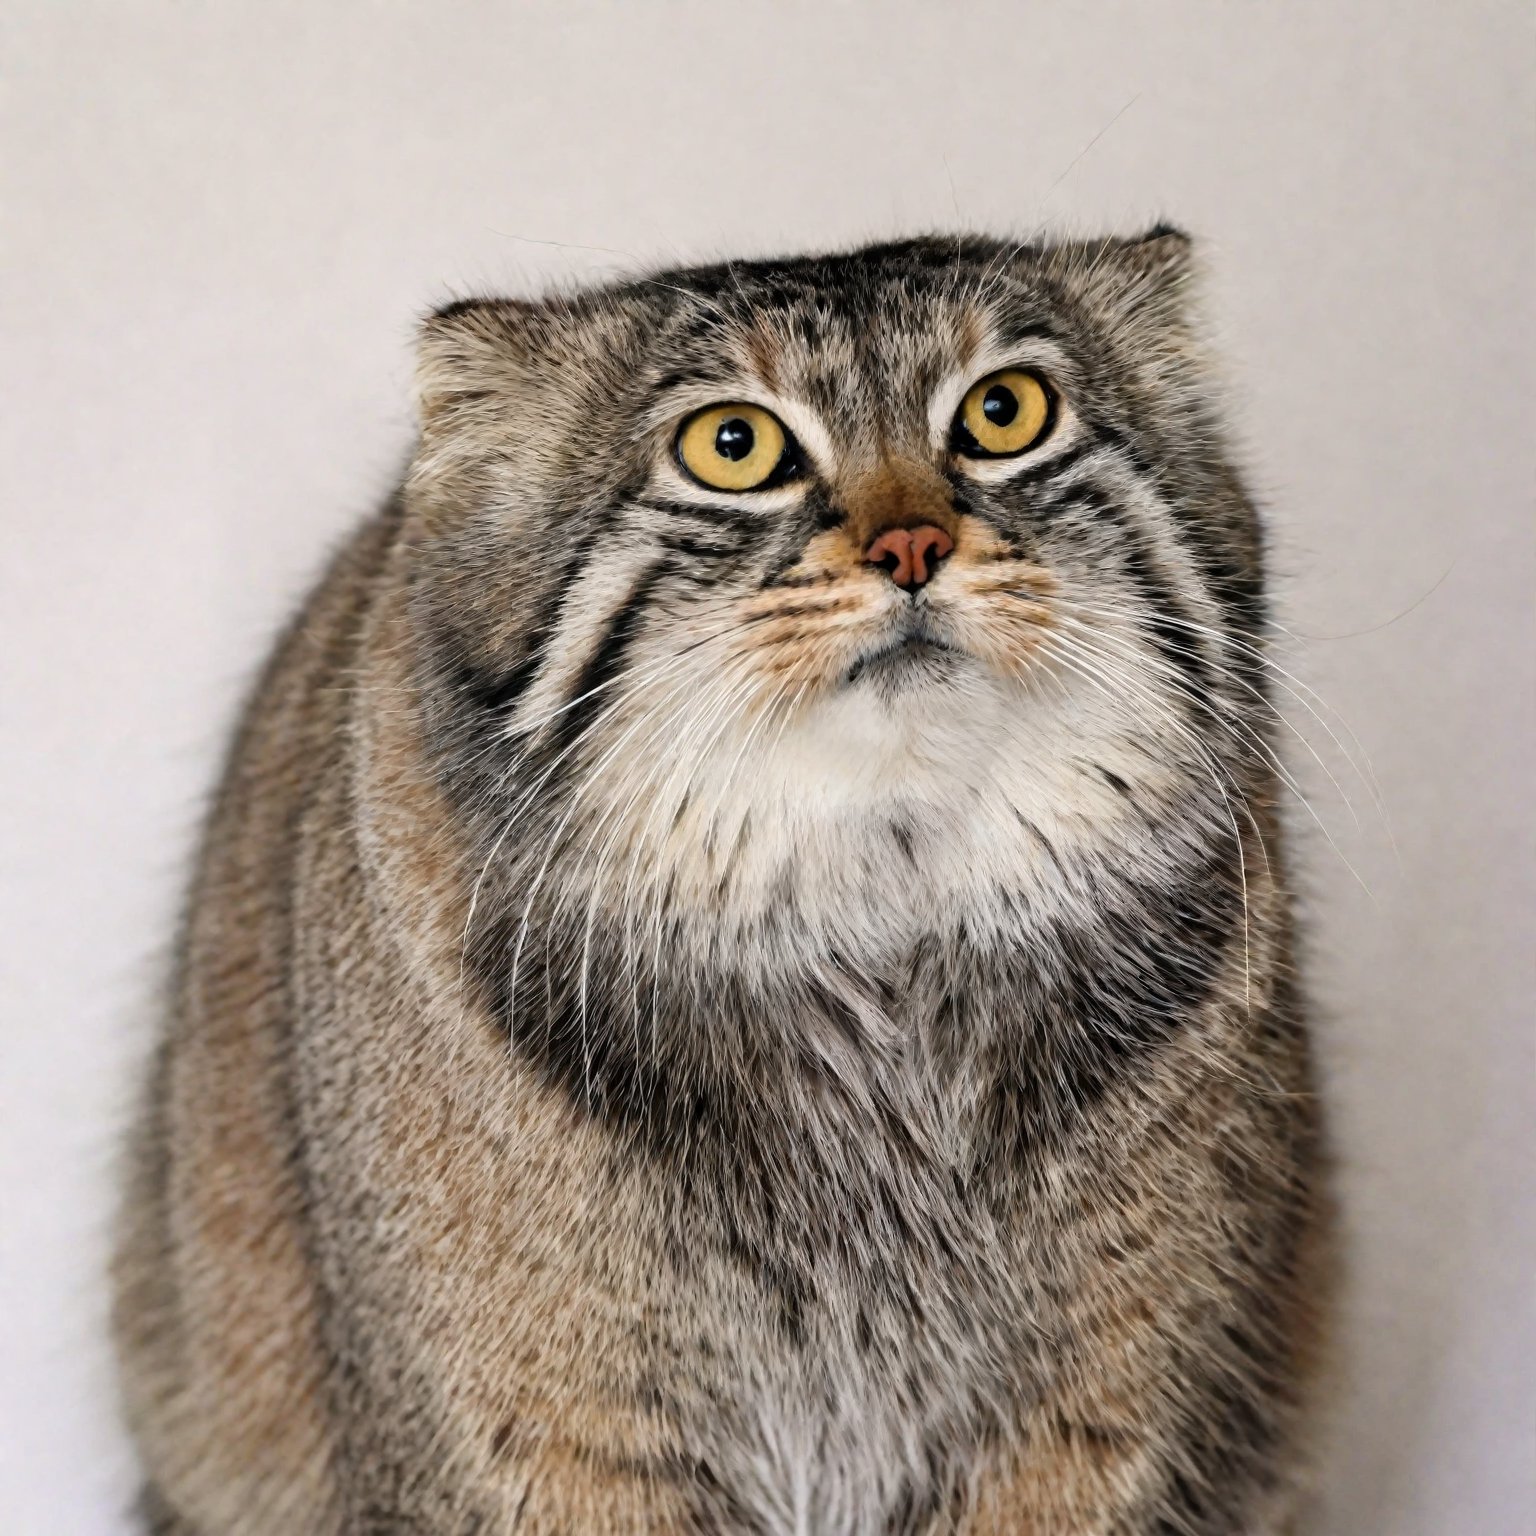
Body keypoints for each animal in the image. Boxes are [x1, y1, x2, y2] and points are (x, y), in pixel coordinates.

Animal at [111, 230, 1333, 1536]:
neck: (875, 940)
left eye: (1006, 412)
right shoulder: (535, 1436)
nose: (912, 547)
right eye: (732, 446)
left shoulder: (1104, 1415)